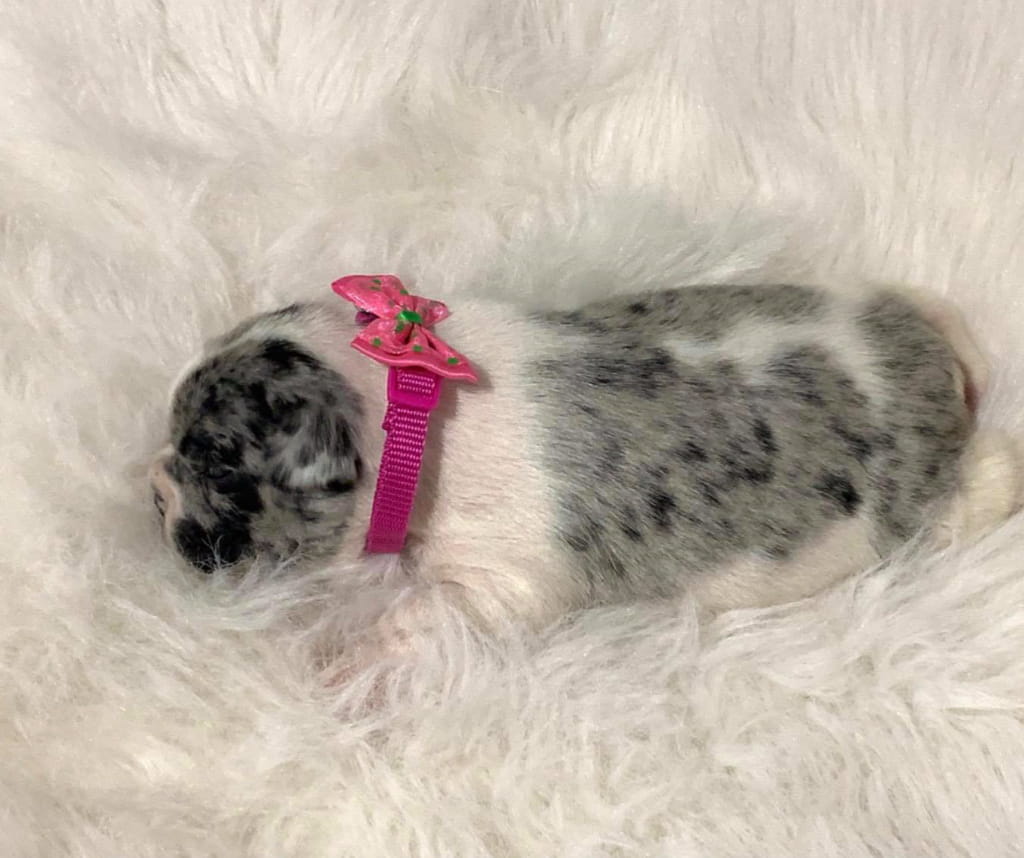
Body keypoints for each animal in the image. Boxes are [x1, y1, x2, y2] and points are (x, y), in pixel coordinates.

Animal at [149, 281, 1022, 673]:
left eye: (214, 458)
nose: (152, 494)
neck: (406, 406)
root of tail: (934, 358)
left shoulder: (504, 578)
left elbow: (418, 615)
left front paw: (345, 659)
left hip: (927, 505)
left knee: (983, 484)